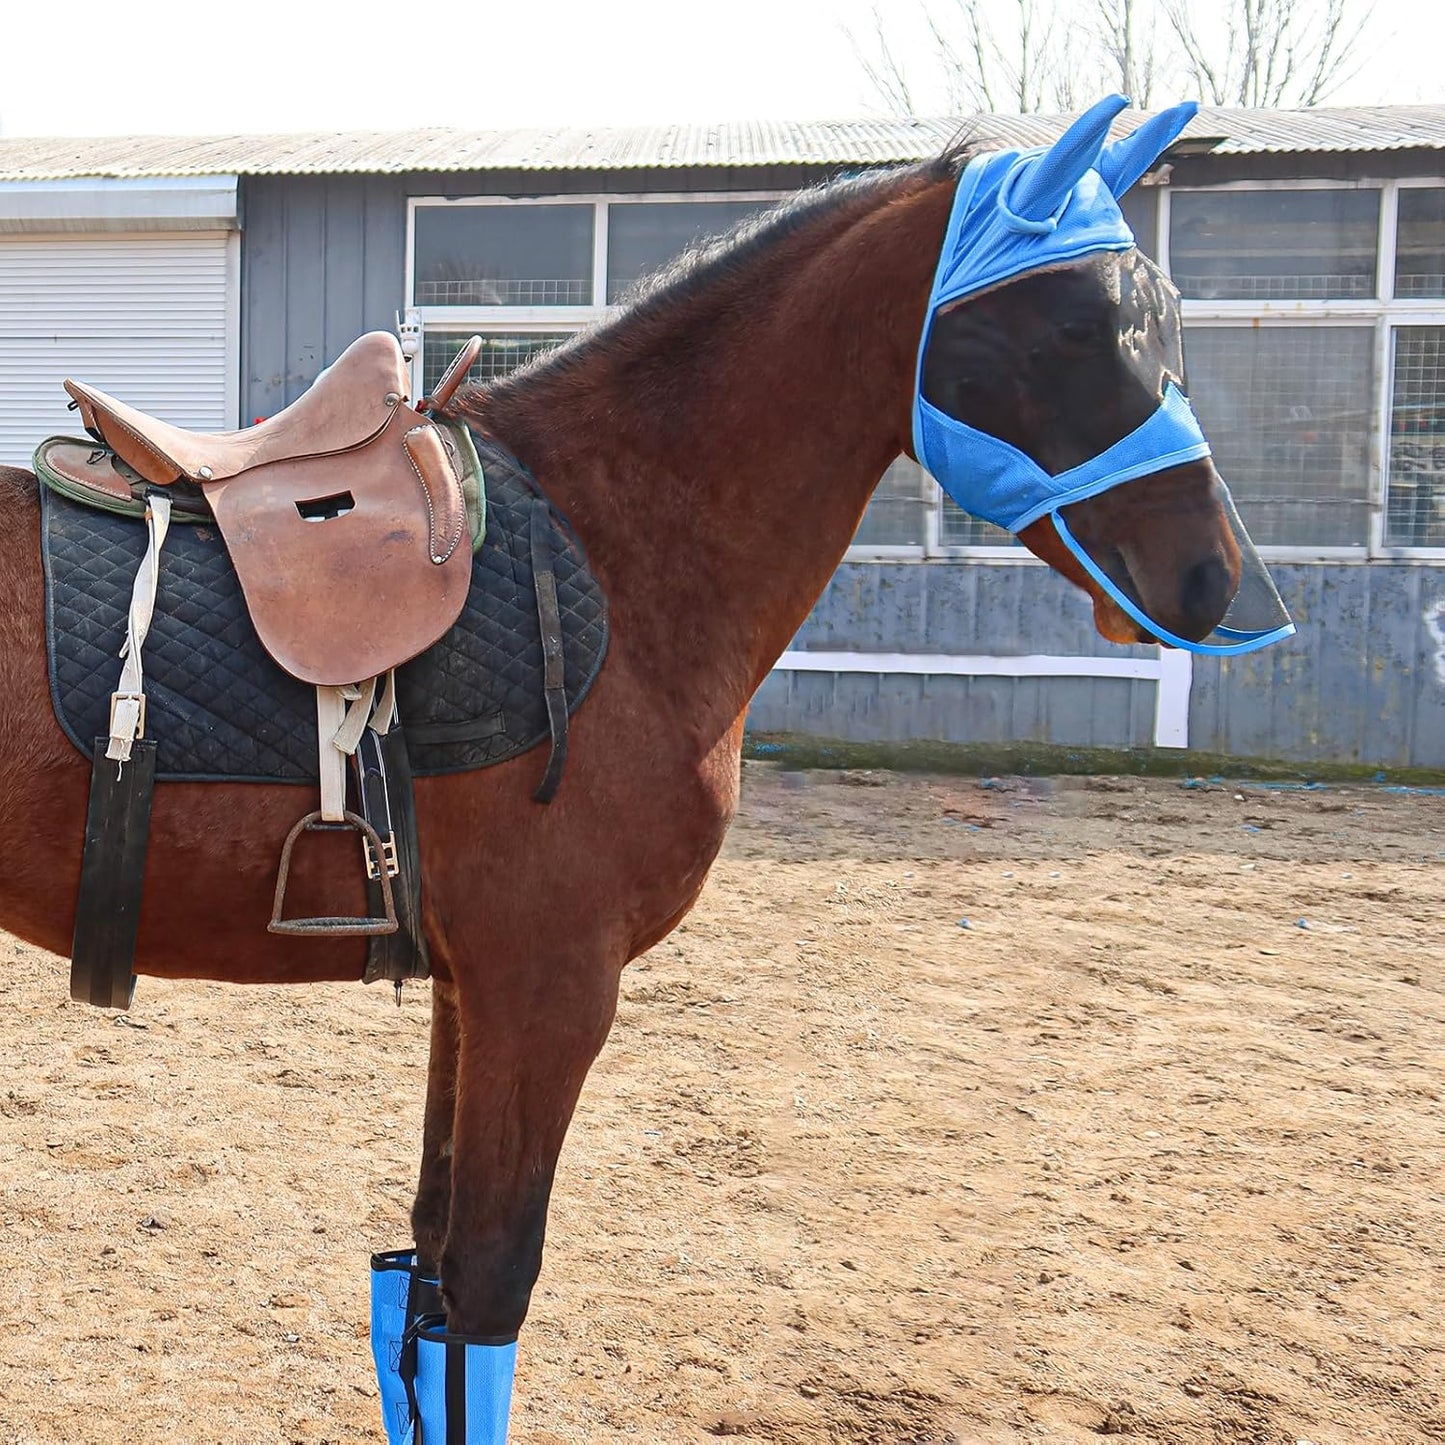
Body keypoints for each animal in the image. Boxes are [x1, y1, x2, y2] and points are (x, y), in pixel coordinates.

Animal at [0, 101, 1247, 1421]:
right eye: (1073, 325)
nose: (1211, 578)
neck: (616, 541)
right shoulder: (548, 986)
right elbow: (487, 1286)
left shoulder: (474, 985)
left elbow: (425, 1268)